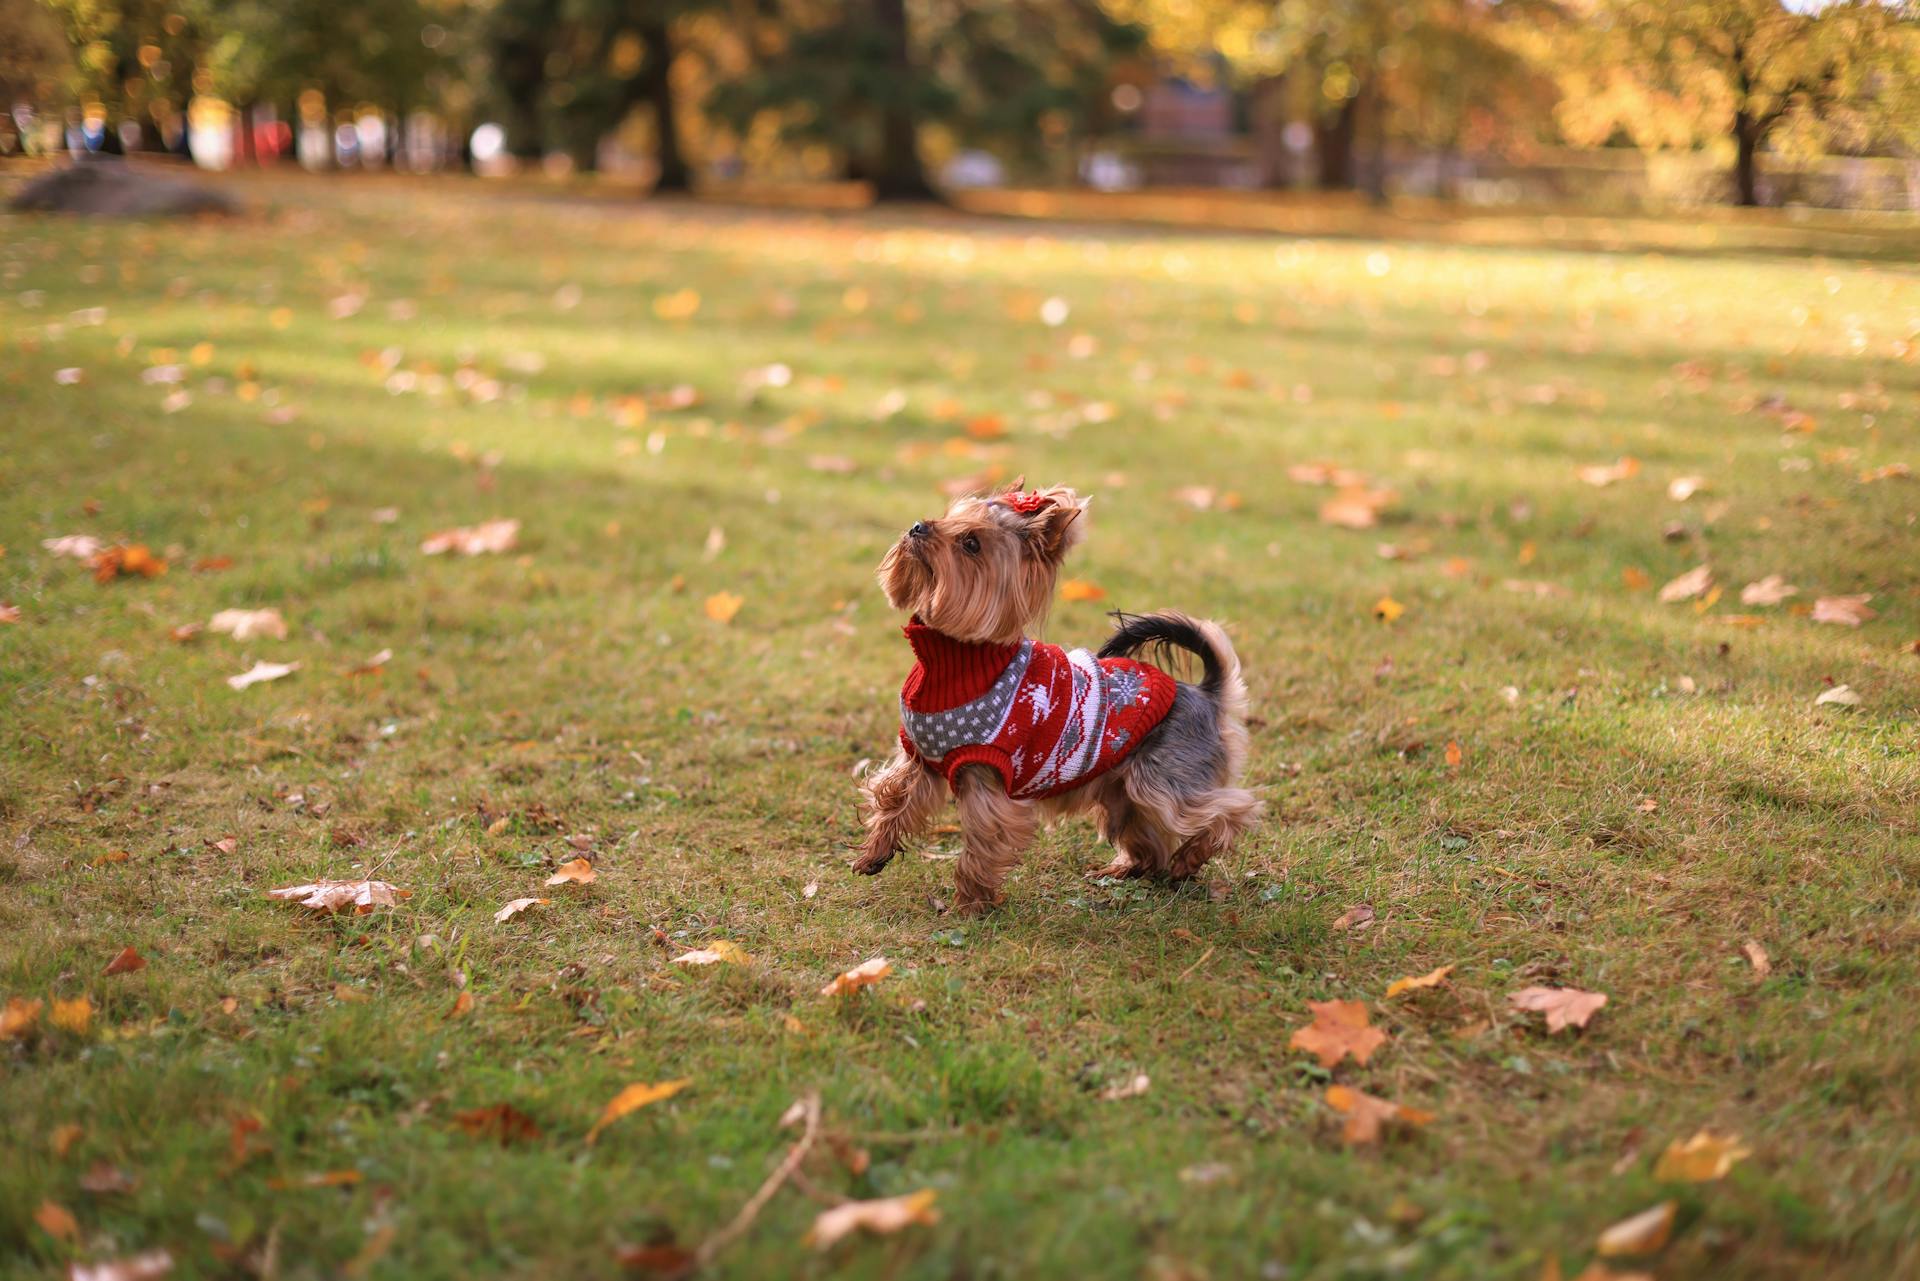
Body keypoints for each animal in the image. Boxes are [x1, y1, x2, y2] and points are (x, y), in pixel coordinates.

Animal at [856, 480, 1259, 910]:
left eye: (971, 543)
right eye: (948, 516)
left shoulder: (986, 776)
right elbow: (893, 798)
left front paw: (971, 903)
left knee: (1233, 809)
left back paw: (1190, 857)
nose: (918, 526)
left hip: (1164, 779)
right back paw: (1128, 869)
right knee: (1148, 839)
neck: (955, 662)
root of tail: (1207, 694)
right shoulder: (923, 760)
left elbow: (982, 841)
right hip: (1122, 789)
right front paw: (874, 853)